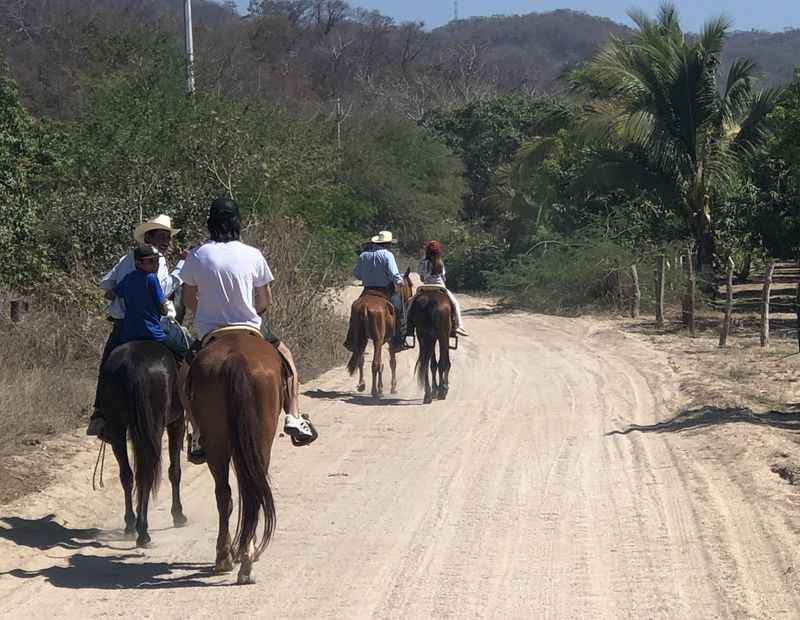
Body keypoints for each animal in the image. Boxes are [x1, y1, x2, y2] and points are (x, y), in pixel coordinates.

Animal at [97, 342, 188, 548]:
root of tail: (135, 365)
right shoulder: (177, 423)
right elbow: (175, 471)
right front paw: (178, 514)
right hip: (154, 427)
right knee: (147, 473)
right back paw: (143, 532)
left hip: (117, 428)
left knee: (128, 475)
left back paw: (131, 524)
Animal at [187, 332, 284, 584]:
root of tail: (236, 359)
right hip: (255, 441)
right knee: (247, 493)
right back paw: (241, 560)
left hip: (219, 443)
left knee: (227, 494)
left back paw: (229, 558)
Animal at [346, 270, 416, 398]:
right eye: (410, 284)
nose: (410, 298)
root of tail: (365, 307)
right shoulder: (390, 341)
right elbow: (392, 363)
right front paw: (392, 387)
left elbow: (381, 364)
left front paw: (381, 387)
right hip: (377, 340)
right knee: (375, 364)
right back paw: (374, 391)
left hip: (362, 339)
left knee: (361, 359)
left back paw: (362, 385)